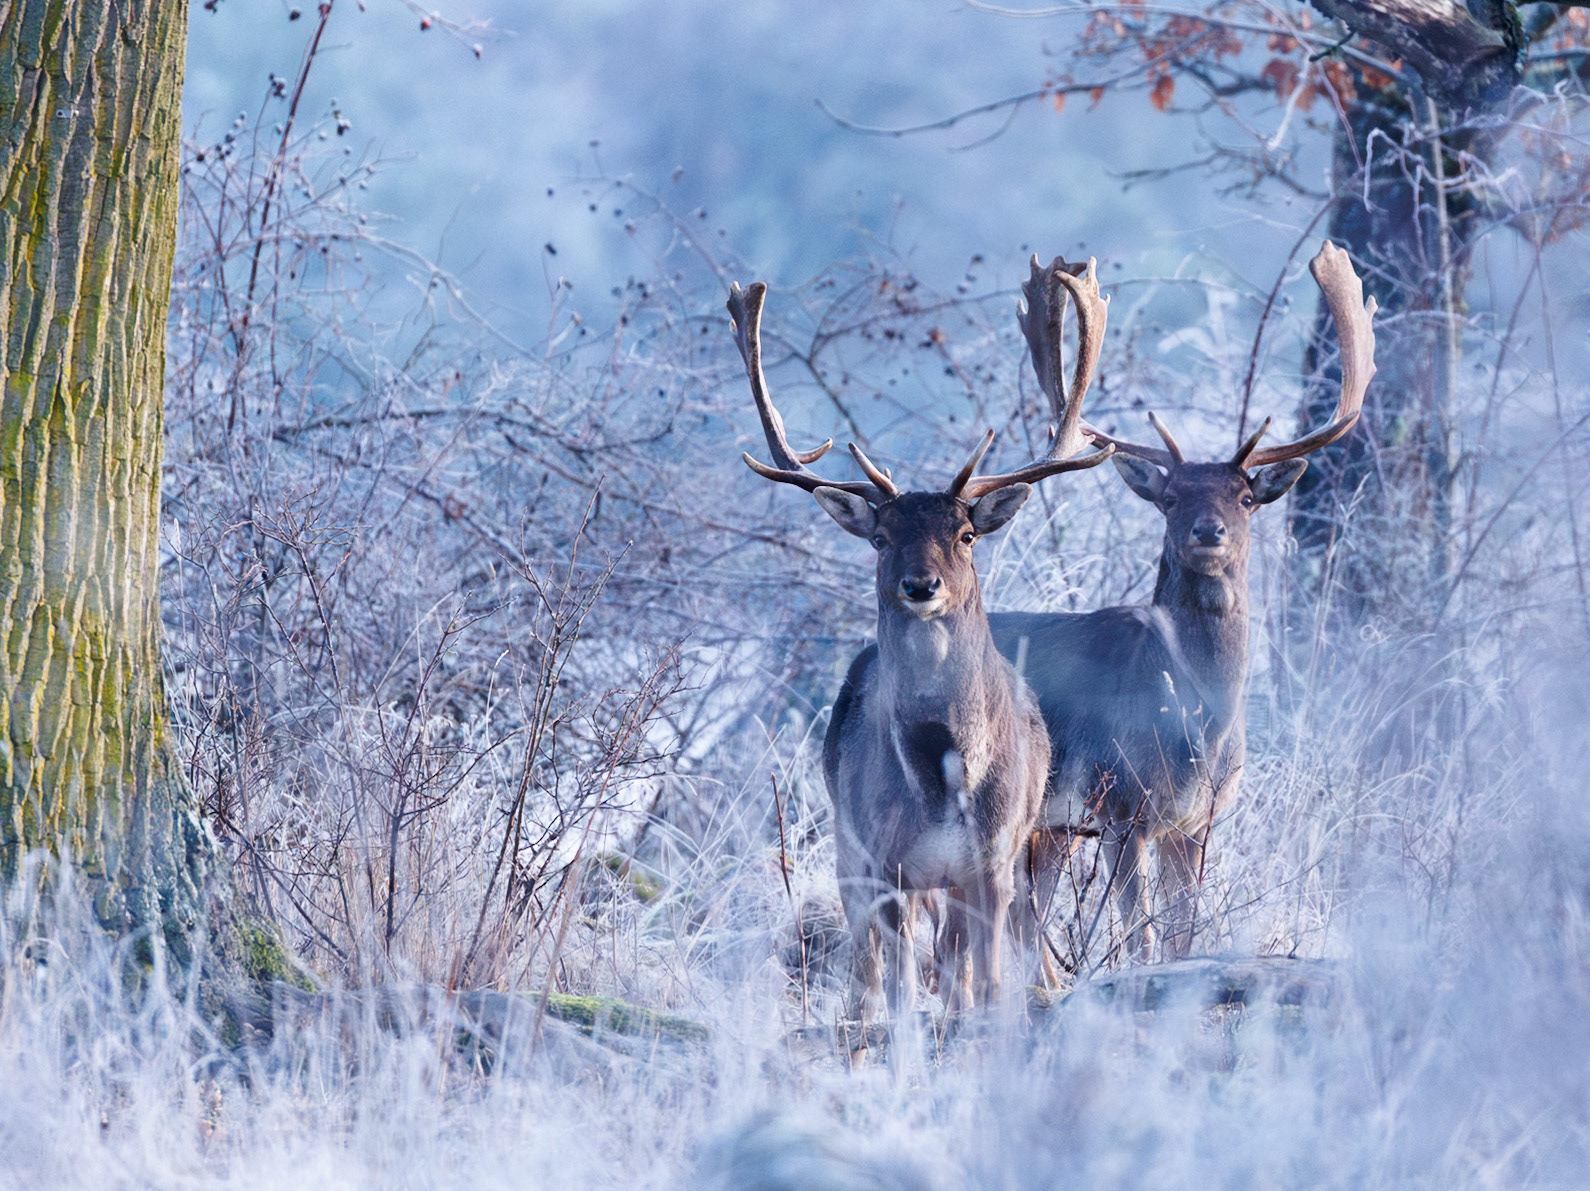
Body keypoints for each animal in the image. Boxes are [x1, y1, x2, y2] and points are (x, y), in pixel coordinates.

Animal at [728, 261, 1113, 1029]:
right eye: (880, 536)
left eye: (965, 534)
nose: (920, 583)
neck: (940, 778)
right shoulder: (885, 860)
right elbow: (902, 988)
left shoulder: (993, 859)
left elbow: (988, 983)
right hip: (849, 846)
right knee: (872, 970)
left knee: (963, 961)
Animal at [987, 241, 1377, 966]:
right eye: (1170, 498)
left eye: (1246, 496)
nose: (1207, 531)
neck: (1198, 719)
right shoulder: (1123, 806)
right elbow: (1141, 937)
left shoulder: (1198, 822)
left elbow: (1181, 934)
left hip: (1049, 829)